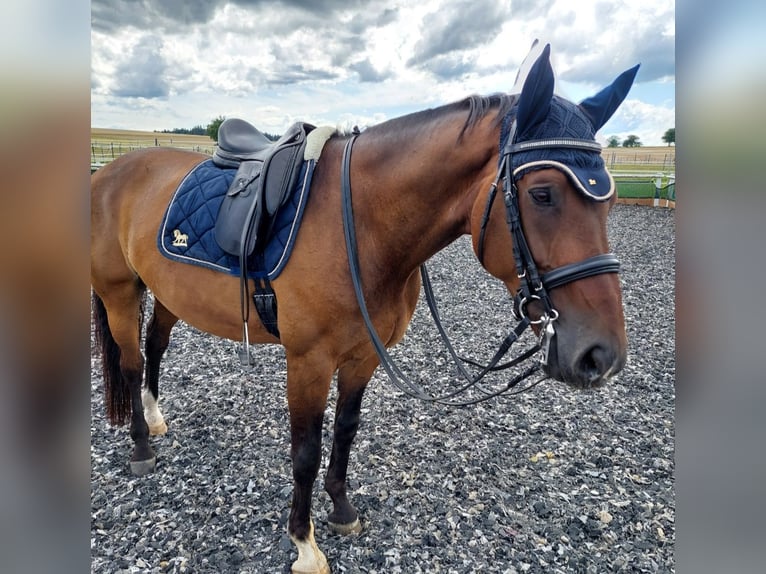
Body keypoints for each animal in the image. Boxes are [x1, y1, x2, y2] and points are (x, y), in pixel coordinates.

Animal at [91, 45, 638, 574]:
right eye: (542, 193)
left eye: (610, 203)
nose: (601, 355)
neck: (361, 224)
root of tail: (111, 171)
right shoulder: (308, 361)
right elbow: (305, 452)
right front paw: (305, 544)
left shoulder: (364, 355)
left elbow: (346, 430)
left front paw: (341, 510)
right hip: (120, 292)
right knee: (132, 360)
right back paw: (141, 447)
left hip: (165, 293)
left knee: (156, 346)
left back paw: (155, 417)